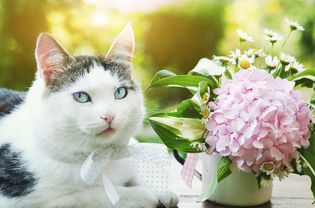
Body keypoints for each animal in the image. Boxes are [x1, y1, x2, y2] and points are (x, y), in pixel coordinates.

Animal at [0, 24, 179, 208]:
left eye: (120, 92)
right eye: (81, 96)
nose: (109, 116)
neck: (103, 157)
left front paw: (162, 191)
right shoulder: (29, 201)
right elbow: (90, 194)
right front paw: (144, 195)